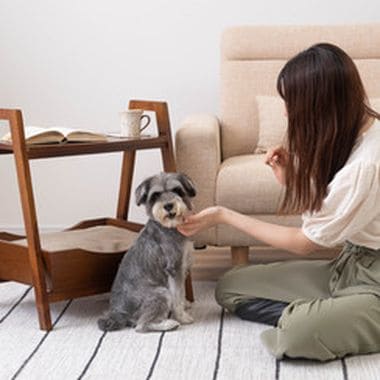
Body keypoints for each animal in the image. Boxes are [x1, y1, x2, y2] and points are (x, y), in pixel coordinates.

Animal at [98, 172, 196, 332]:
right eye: (155, 195)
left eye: (177, 190)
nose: (168, 206)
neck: (168, 227)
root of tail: (119, 313)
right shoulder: (174, 269)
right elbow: (177, 295)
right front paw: (182, 316)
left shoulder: (182, 266)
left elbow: (181, 293)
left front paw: (185, 304)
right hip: (160, 293)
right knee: (141, 326)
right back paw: (169, 324)